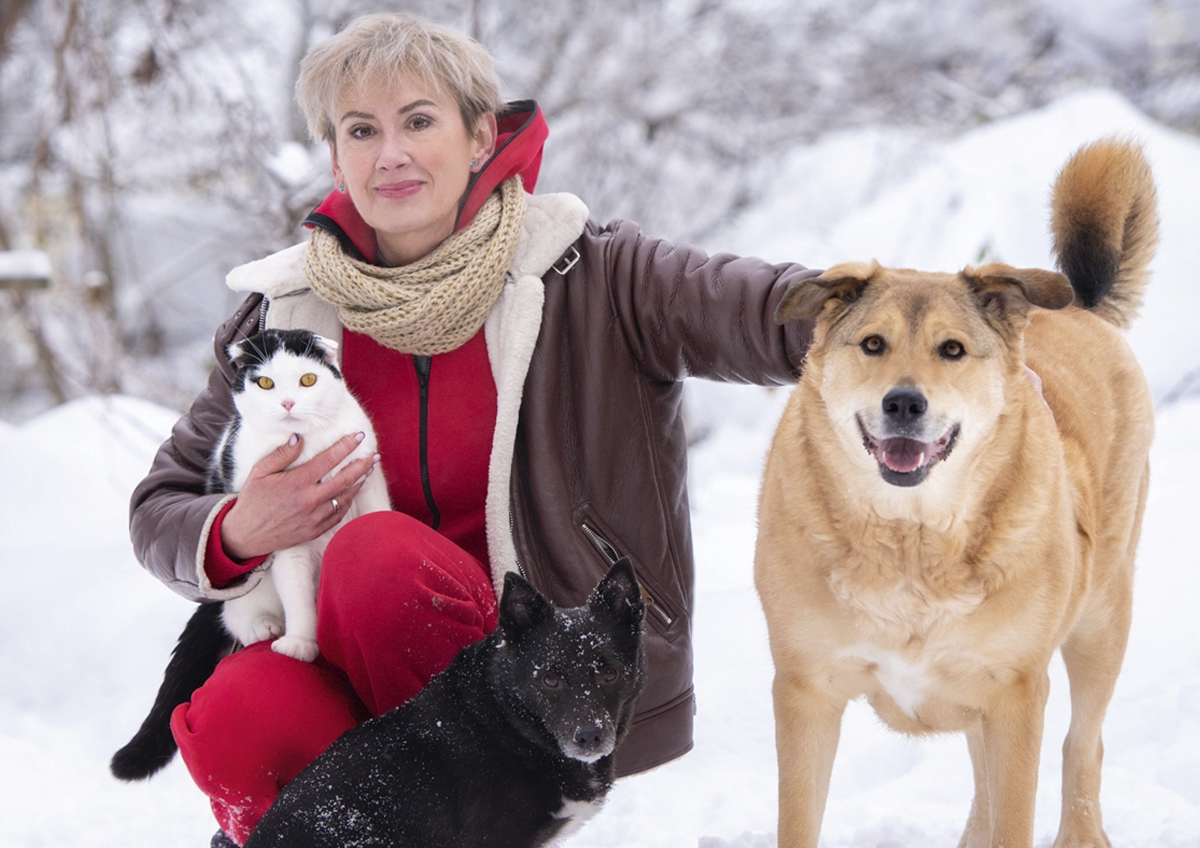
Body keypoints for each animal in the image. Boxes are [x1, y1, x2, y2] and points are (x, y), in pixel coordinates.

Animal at [109, 326, 388, 782]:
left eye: (307, 380)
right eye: (266, 383)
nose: (288, 403)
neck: (309, 451)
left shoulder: (368, 479)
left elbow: (379, 516)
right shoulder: (287, 532)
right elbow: (296, 593)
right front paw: (300, 642)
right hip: (245, 592)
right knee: (236, 615)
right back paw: (263, 626)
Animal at [753, 139, 1156, 848]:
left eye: (952, 349)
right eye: (873, 343)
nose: (904, 403)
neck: (912, 541)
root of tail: (1081, 307)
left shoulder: (1016, 692)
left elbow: (1016, 813)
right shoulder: (806, 689)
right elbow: (799, 822)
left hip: (1102, 622)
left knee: (1083, 746)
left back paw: (1081, 830)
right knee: (985, 789)